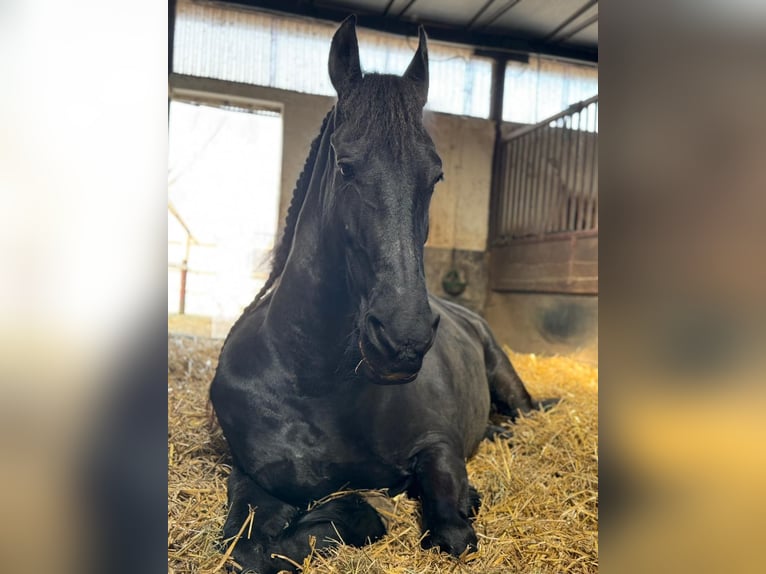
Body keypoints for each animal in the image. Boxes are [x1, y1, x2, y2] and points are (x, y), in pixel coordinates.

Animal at [210, 15, 552, 574]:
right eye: (344, 166)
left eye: (436, 174)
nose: (403, 338)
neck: (314, 381)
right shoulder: (253, 477)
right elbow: (247, 549)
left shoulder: (438, 446)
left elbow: (449, 530)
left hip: (510, 384)